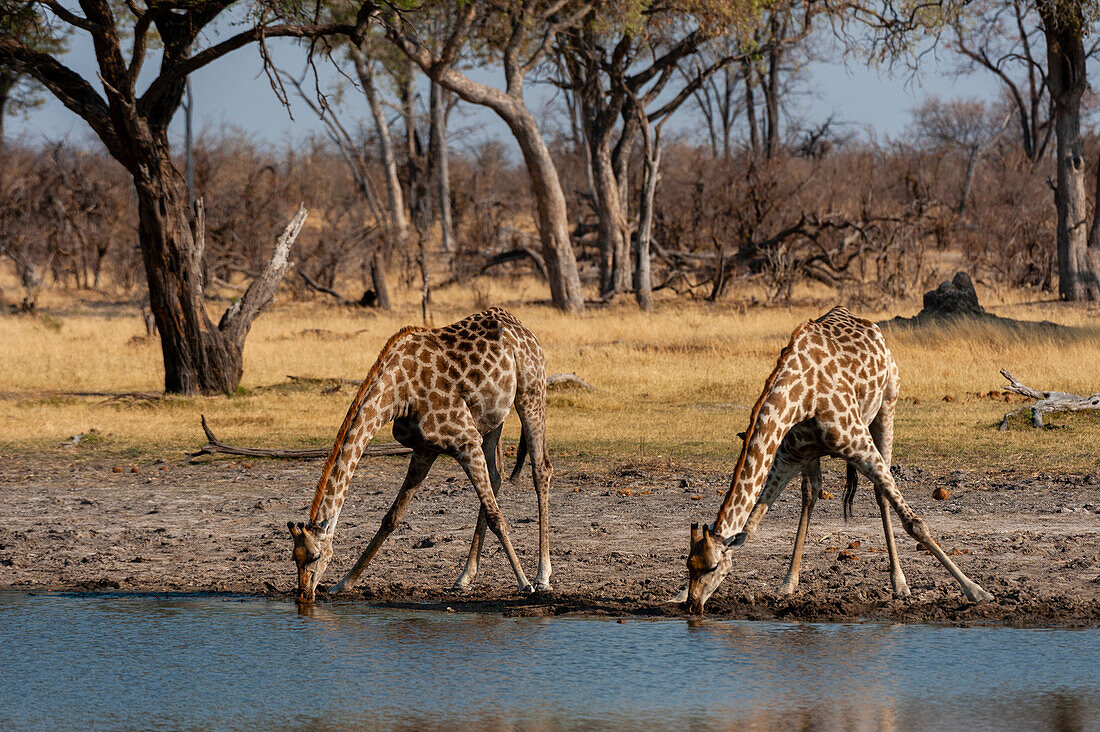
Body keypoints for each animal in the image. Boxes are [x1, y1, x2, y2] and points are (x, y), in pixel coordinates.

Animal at [290, 306, 554, 603]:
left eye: (314, 556)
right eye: (294, 557)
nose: (303, 595)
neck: (397, 395)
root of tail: (520, 326)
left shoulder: (465, 440)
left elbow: (496, 515)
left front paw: (524, 583)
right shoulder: (424, 450)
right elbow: (391, 517)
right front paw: (343, 583)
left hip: (531, 393)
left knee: (541, 468)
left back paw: (542, 576)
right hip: (492, 418)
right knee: (496, 475)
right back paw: (464, 578)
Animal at [682, 306, 994, 612]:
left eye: (712, 567)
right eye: (689, 566)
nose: (692, 605)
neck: (801, 395)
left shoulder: (859, 444)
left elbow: (914, 524)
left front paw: (976, 590)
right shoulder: (789, 456)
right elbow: (753, 521)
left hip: (887, 407)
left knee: (881, 494)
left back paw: (899, 583)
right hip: (813, 455)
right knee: (811, 495)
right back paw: (790, 582)